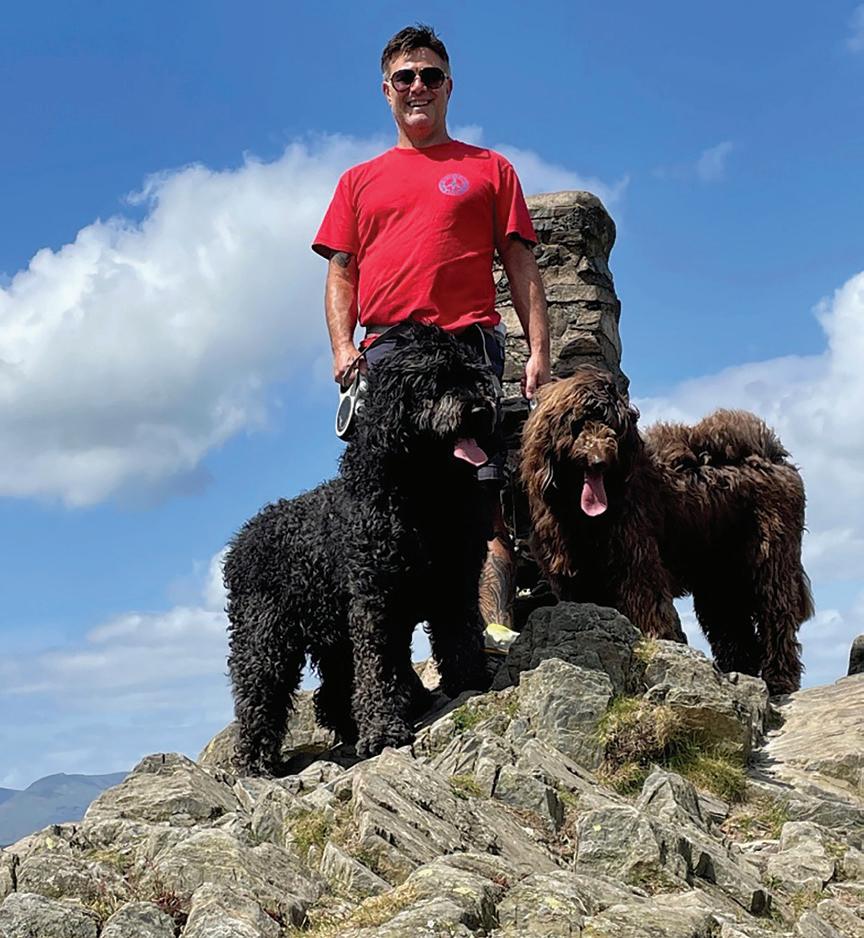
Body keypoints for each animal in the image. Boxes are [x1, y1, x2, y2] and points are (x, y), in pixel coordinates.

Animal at [224, 324, 498, 774]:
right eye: (435, 381)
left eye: (473, 376)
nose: (479, 410)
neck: (421, 494)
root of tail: (241, 540)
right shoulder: (375, 603)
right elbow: (378, 667)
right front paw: (383, 731)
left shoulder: (454, 582)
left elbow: (460, 634)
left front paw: (470, 680)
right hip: (265, 637)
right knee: (260, 691)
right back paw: (254, 760)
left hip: (330, 630)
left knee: (330, 694)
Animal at [520, 366, 814, 695]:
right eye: (579, 423)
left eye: (613, 426)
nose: (600, 460)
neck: (581, 513)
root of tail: (773, 456)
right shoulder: (578, 580)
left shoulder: (636, 563)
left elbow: (648, 609)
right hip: (719, 576)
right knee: (733, 626)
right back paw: (739, 672)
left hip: (769, 558)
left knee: (776, 616)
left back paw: (779, 679)